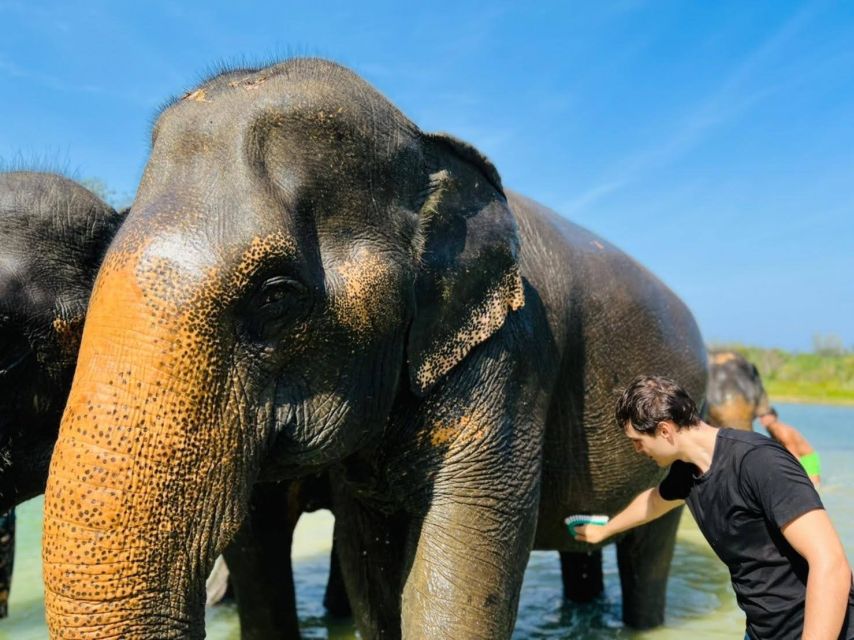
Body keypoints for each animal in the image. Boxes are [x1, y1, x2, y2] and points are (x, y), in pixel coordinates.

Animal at [41, 58, 707, 639]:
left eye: (276, 296)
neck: (426, 145)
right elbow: (369, 567)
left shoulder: (514, 354)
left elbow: (463, 554)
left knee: (649, 551)